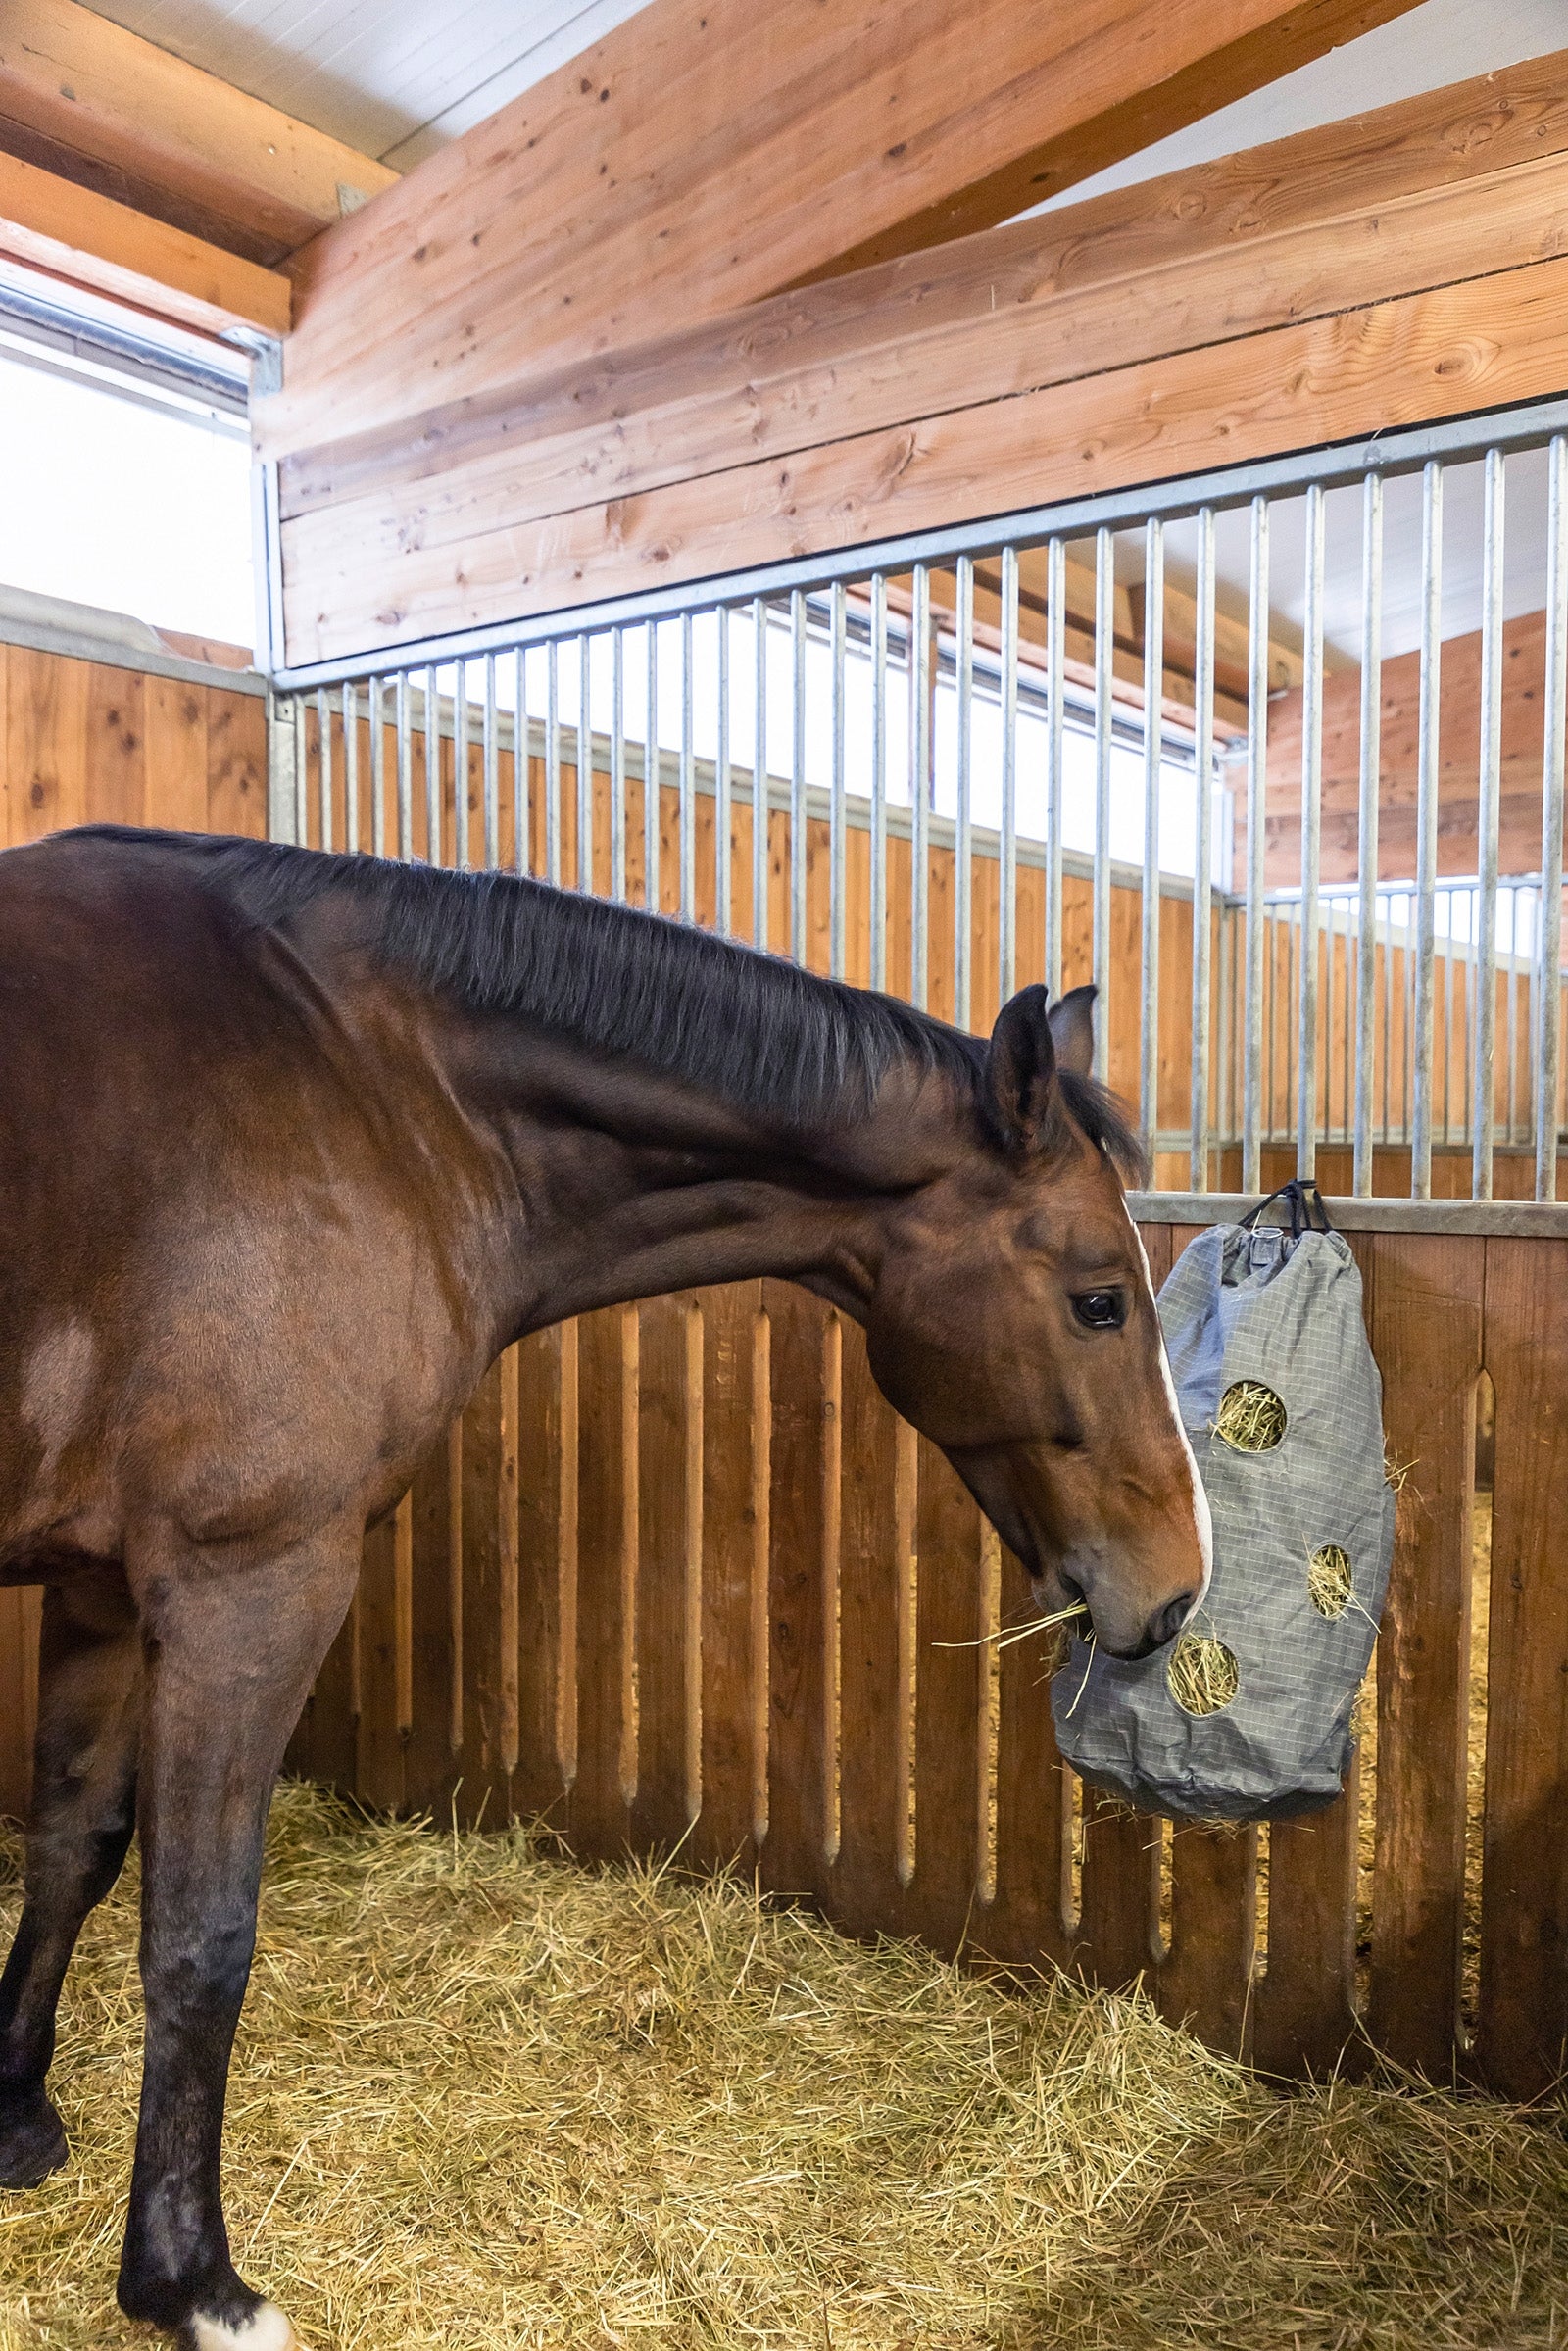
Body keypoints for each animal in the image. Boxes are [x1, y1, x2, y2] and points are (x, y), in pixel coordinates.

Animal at [0, 824, 1211, 2349]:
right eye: (1101, 1296)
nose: (1180, 1585)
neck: (375, 1092)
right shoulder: (249, 1581)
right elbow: (199, 1932)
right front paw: (192, 2280)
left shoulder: (103, 1582)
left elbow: (70, 1846)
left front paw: (14, 2114)